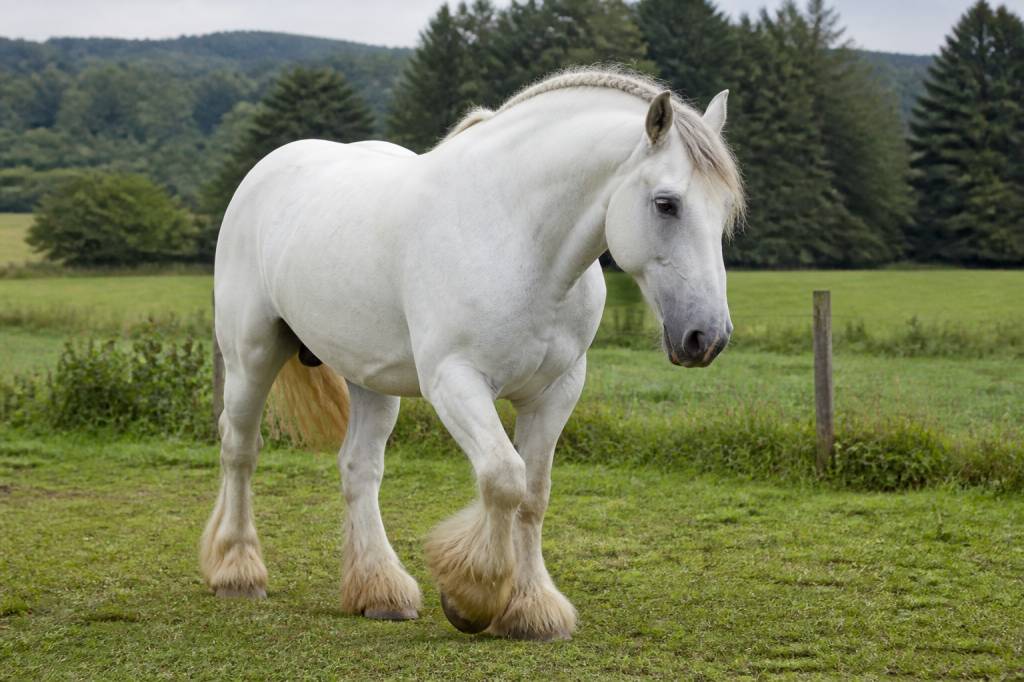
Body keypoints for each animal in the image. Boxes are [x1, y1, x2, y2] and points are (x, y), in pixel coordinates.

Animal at [200, 67, 744, 642]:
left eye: (724, 212)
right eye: (666, 203)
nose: (707, 336)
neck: (518, 237)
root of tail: (264, 173)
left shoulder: (557, 390)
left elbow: (534, 492)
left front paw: (530, 608)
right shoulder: (455, 380)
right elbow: (504, 478)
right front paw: (473, 598)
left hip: (369, 379)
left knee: (359, 467)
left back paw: (380, 590)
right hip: (251, 354)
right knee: (240, 449)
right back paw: (237, 571)